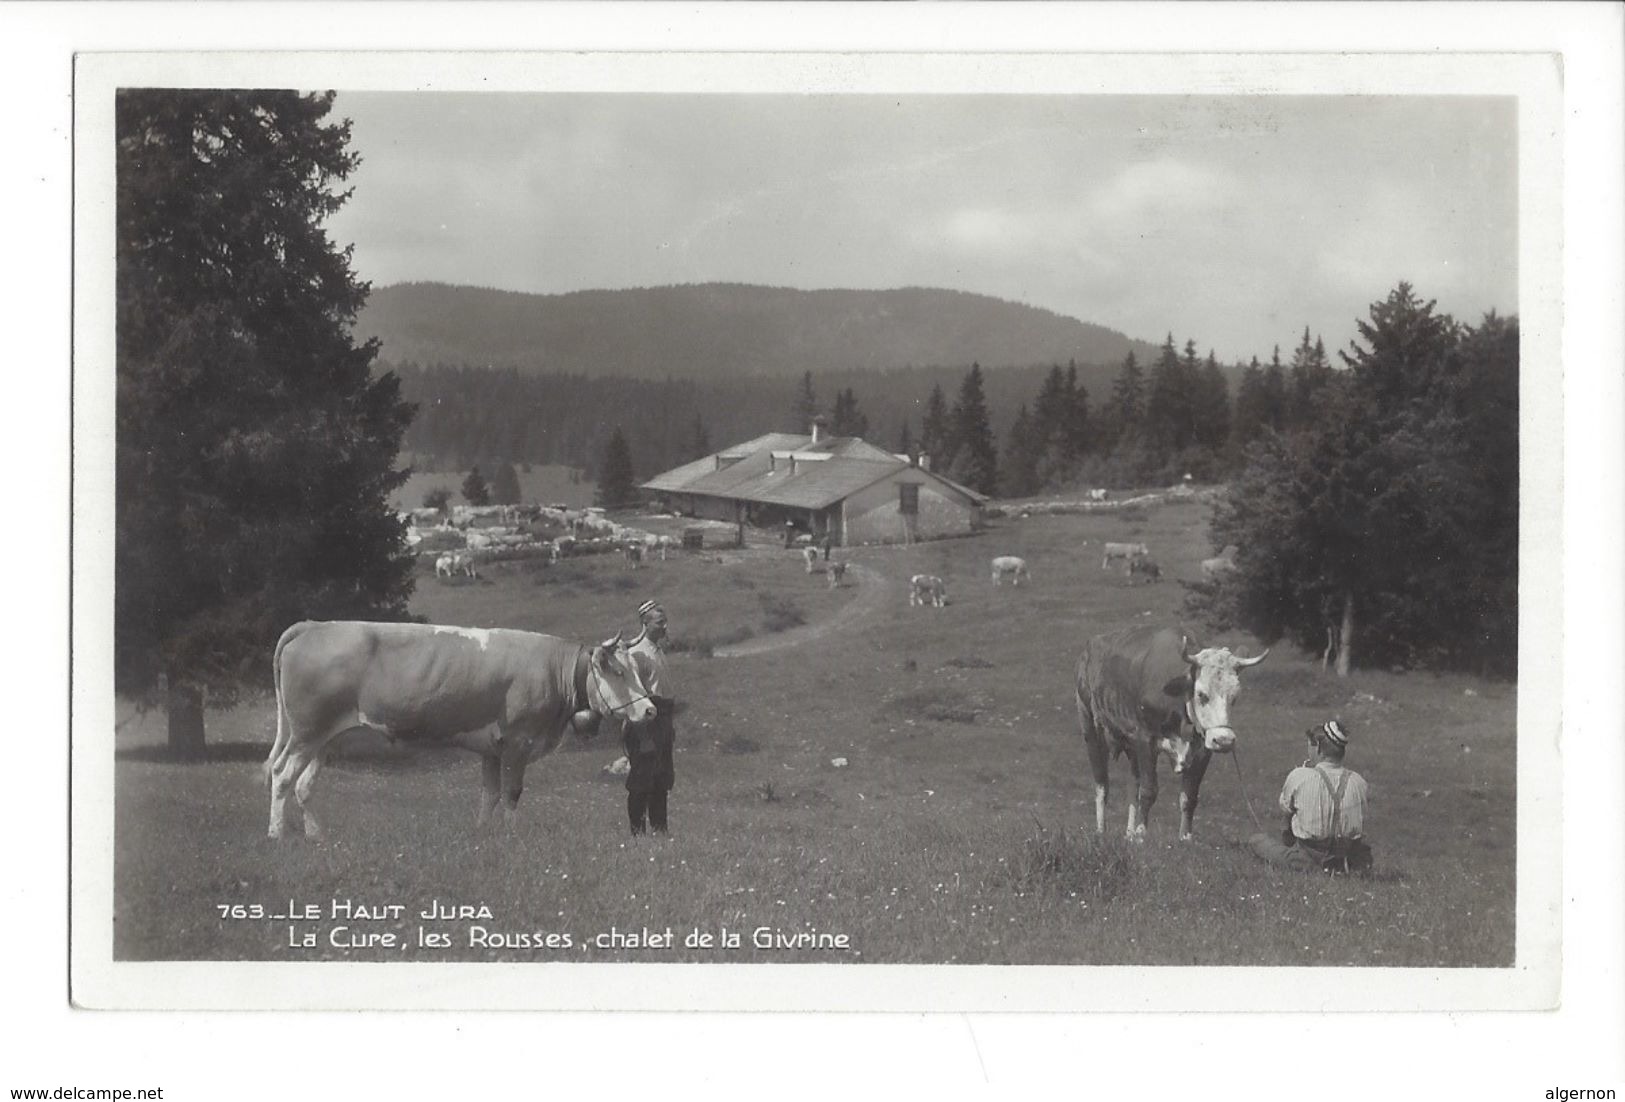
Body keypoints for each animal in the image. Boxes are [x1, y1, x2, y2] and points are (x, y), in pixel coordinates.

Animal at [260, 620, 653, 838]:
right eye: (619, 672)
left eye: (638, 669)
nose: (650, 710)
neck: (554, 670)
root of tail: (315, 625)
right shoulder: (518, 741)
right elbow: (512, 793)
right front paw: (512, 836)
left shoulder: (492, 748)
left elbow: (489, 794)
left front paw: (482, 833)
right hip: (306, 733)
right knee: (282, 775)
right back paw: (276, 833)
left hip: (323, 738)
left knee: (304, 784)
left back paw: (315, 835)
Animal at [1079, 627, 1267, 838]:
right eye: (1201, 694)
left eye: (1234, 697)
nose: (1224, 740)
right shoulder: (1145, 740)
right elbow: (1148, 790)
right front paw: (1141, 834)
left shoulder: (1203, 749)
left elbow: (1189, 797)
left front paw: (1184, 837)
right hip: (1091, 730)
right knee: (1102, 784)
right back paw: (1101, 830)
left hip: (1131, 745)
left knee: (1132, 785)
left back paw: (1128, 833)